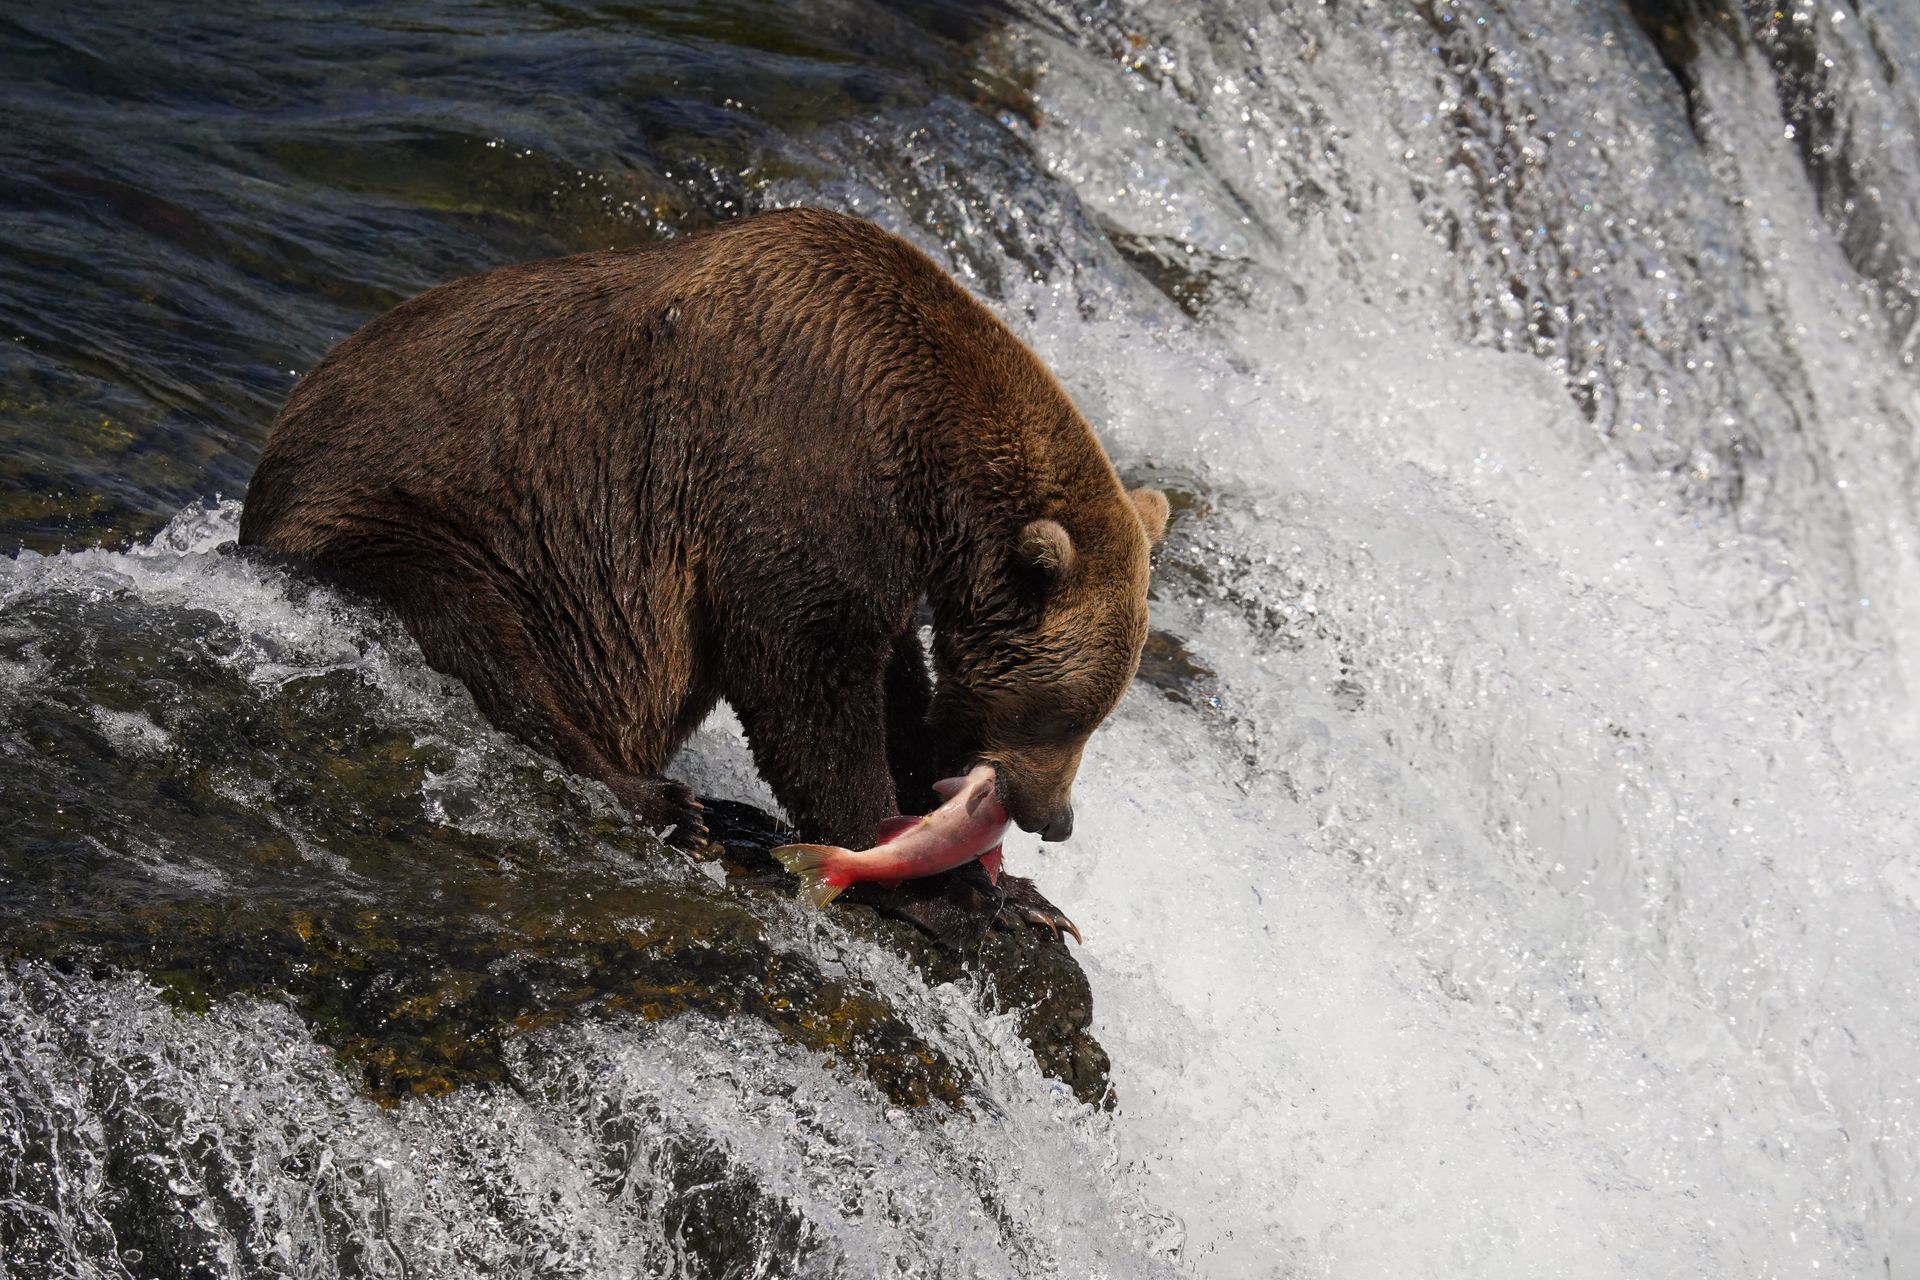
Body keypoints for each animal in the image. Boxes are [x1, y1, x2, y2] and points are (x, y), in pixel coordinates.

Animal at [239, 207, 1168, 942]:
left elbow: (891, 682)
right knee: (480, 636)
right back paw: (676, 808)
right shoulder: (792, 464)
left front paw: (1023, 896)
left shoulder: (876, 538)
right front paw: (937, 886)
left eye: (1097, 716)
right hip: (420, 520)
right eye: (1070, 714)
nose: (1055, 820)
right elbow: (807, 679)